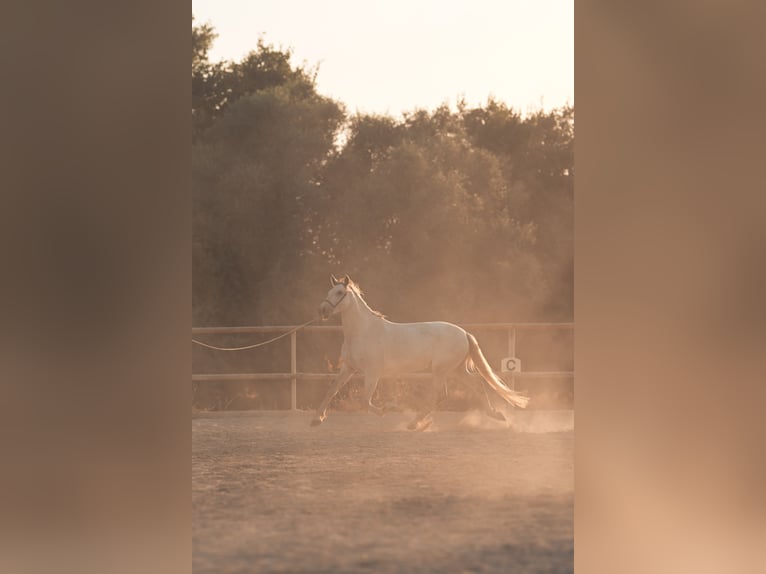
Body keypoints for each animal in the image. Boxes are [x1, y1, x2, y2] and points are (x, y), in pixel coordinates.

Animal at [311, 274, 530, 430]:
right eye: (329, 291)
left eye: (340, 292)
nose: (322, 310)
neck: (363, 331)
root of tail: (464, 333)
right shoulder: (349, 368)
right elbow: (332, 389)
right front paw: (317, 419)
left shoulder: (372, 373)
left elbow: (365, 401)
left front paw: (388, 409)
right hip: (456, 370)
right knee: (476, 384)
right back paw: (495, 415)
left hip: (441, 370)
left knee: (440, 395)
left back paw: (415, 423)